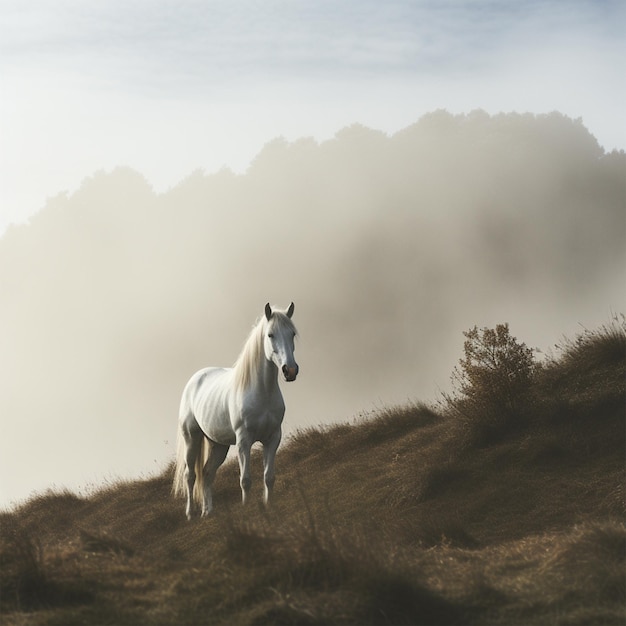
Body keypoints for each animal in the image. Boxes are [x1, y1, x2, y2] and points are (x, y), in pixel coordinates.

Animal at [171, 302, 298, 516]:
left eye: (293, 334)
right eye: (270, 334)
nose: (290, 370)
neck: (261, 392)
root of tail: (195, 378)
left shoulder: (273, 438)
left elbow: (269, 477)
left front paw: (269, 505)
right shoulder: (243, 441)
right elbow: (245, 480)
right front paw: (246, 509)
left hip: (218, 444)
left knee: (207, 473)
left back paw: (207, 512)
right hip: (191, 437)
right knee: (190, 475)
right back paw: (190, 514)